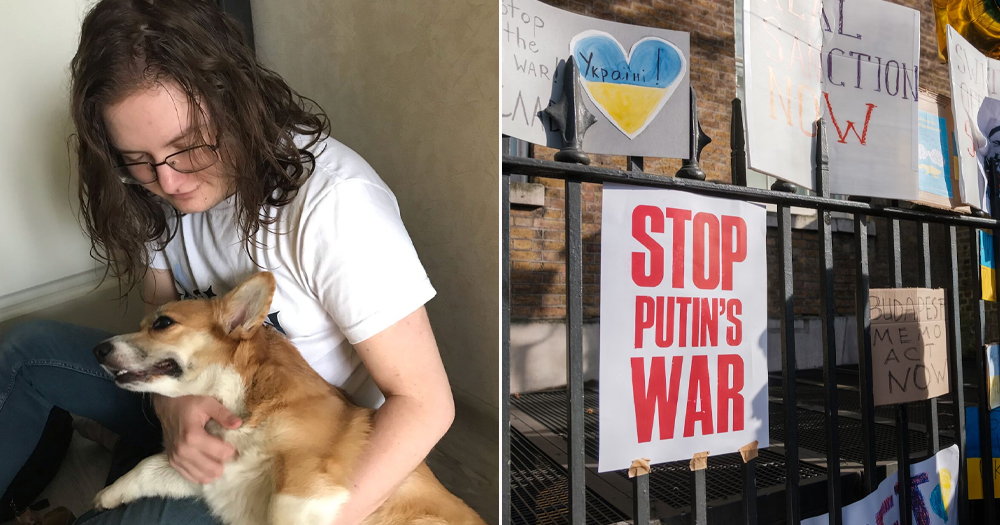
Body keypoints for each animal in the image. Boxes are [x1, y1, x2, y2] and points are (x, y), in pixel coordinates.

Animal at [90, 270, 488, 524]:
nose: (97, 350)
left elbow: (282, 509)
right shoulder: (212, 472)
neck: (240, 399)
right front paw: (108, 495)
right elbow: (148, 467)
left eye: (163, 323)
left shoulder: (304, 476)